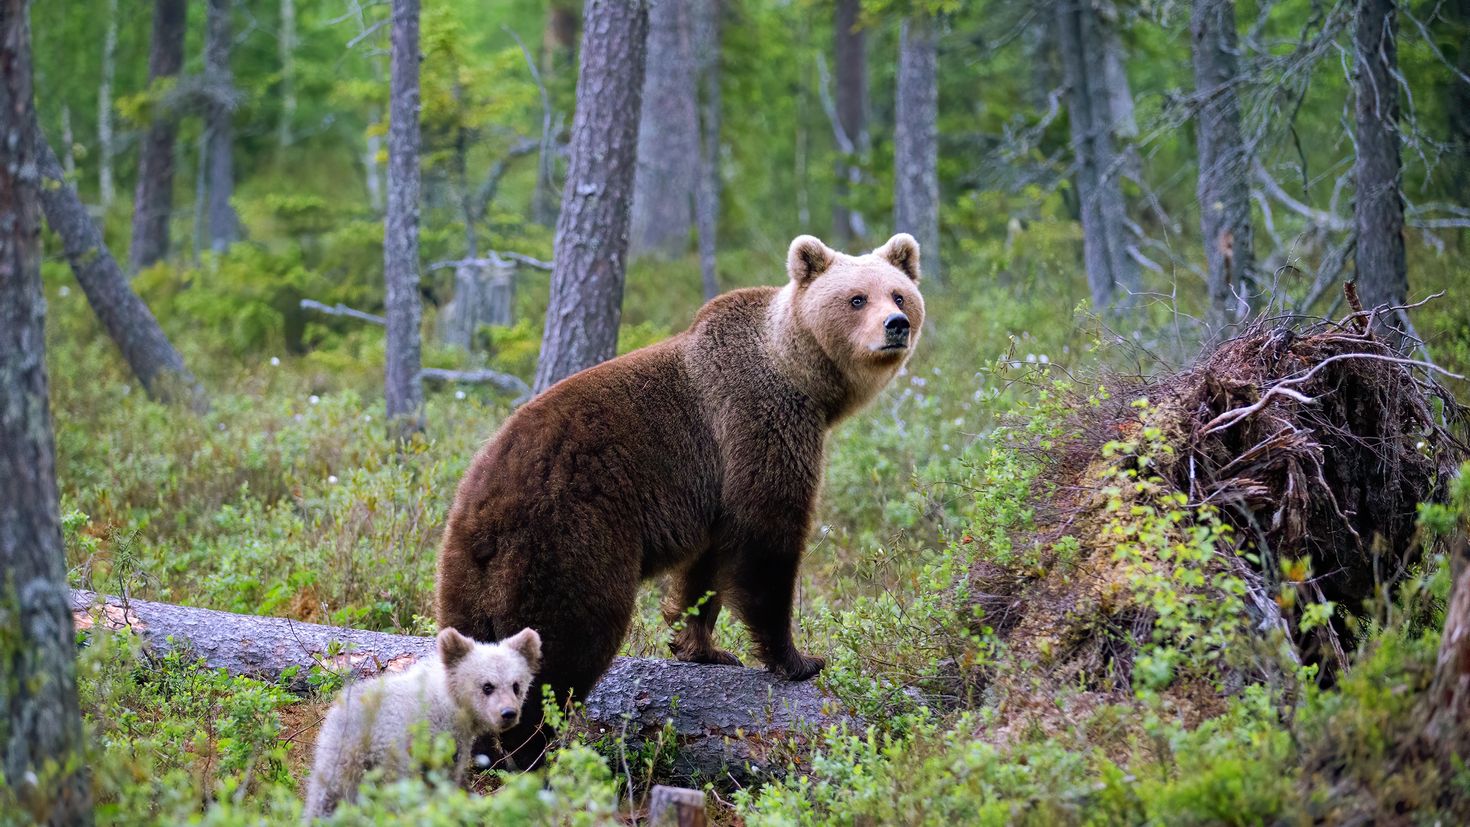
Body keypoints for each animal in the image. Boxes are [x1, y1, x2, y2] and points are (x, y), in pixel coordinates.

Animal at [429, 232, 923, 763]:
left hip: (465, 572)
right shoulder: (759, 425)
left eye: (898, 294)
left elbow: (706, 569)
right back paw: (530, 750)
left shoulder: (715, 489)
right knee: (566, 641)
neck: (803, 377)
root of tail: (484, 508)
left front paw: (704, 647)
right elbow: (767, 542)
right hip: (567, 540)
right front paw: (799, 659)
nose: (896, 325)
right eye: (857, 298)